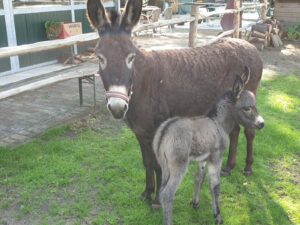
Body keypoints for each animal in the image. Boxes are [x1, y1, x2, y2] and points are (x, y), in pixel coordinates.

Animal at [154, 67, 264, 225]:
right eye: (247, 108)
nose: (262, 124)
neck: (218, 123)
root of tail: (164, 132)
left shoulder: (202, 159)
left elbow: (199, 178)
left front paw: (195, 203)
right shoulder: (217, 157)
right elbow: (215, 186)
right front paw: (217, 216)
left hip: (165, 166)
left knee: (162, 191)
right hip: (179, 166)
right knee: (167, 194)